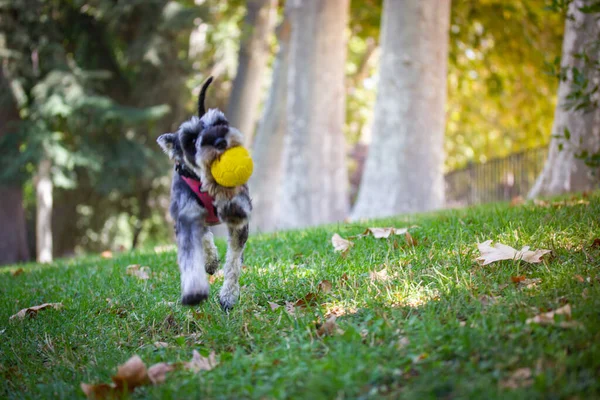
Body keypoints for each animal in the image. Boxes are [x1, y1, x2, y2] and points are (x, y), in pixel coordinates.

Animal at [157, 77, 251, 310]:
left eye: (220, 123)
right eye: (191, 139)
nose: (220, 142)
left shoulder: (240, 219)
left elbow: (233, 261)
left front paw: (228, 295)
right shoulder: (185, 218)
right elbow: (193, 255)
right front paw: (195, 291)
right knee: (206, 235)